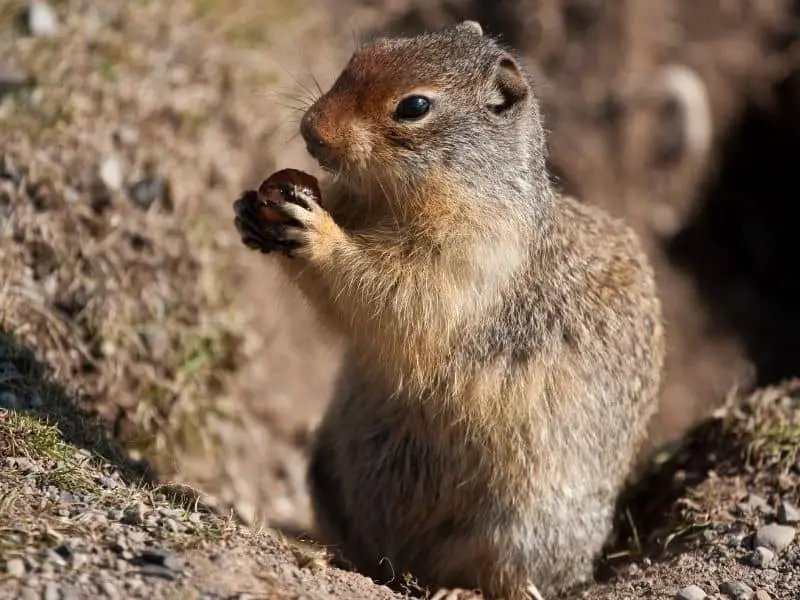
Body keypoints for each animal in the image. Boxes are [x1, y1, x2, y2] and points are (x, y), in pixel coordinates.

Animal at [234, 19, 664, 600]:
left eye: (414, 106)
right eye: (368, 50)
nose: (309, 129)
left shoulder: (470, 256)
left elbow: (400, 293)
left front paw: (315, 232)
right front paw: (252, 211)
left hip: (514, 528)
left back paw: (457, 588)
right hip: (327, 470)